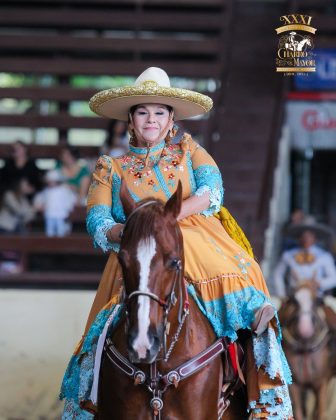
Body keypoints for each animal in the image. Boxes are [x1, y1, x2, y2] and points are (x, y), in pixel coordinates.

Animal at [278, 278, 334, 420]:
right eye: (294, 300)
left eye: (317, 301)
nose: (305, 329)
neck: (305, 348)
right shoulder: (296, 386)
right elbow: (298, 411)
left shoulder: (321, 384)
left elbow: (320, 412)